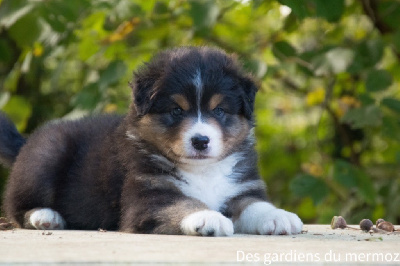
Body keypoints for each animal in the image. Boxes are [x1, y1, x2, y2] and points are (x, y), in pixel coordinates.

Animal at [0, 46, 302, 236]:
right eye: (176, 110)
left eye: (219, 110)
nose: (200, 141)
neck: (202, 170)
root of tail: (26, 143)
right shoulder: (147, 196)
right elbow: (181, 204)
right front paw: (208, 217)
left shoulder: (241, 186)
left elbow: (253, 204)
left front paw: (279, 216)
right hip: (46, 154)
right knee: (16, 206)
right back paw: (46, 216)